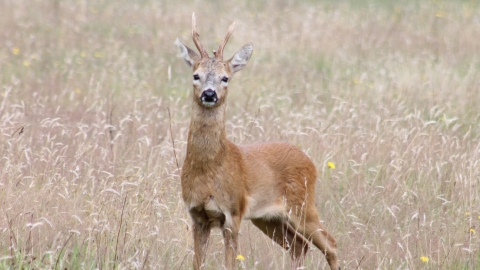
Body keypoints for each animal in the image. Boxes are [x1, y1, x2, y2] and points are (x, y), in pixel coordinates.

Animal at [174, 13, 340, 270]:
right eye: (196, 75)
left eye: (225, 77)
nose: (209, 94)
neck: (209, 172)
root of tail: (310, 163)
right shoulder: (197, 215)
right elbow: (197, 263)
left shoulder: (233, 213)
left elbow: (230, 263)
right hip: (267, 217)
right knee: (299, 246)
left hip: (302, 205)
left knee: (330, 244)